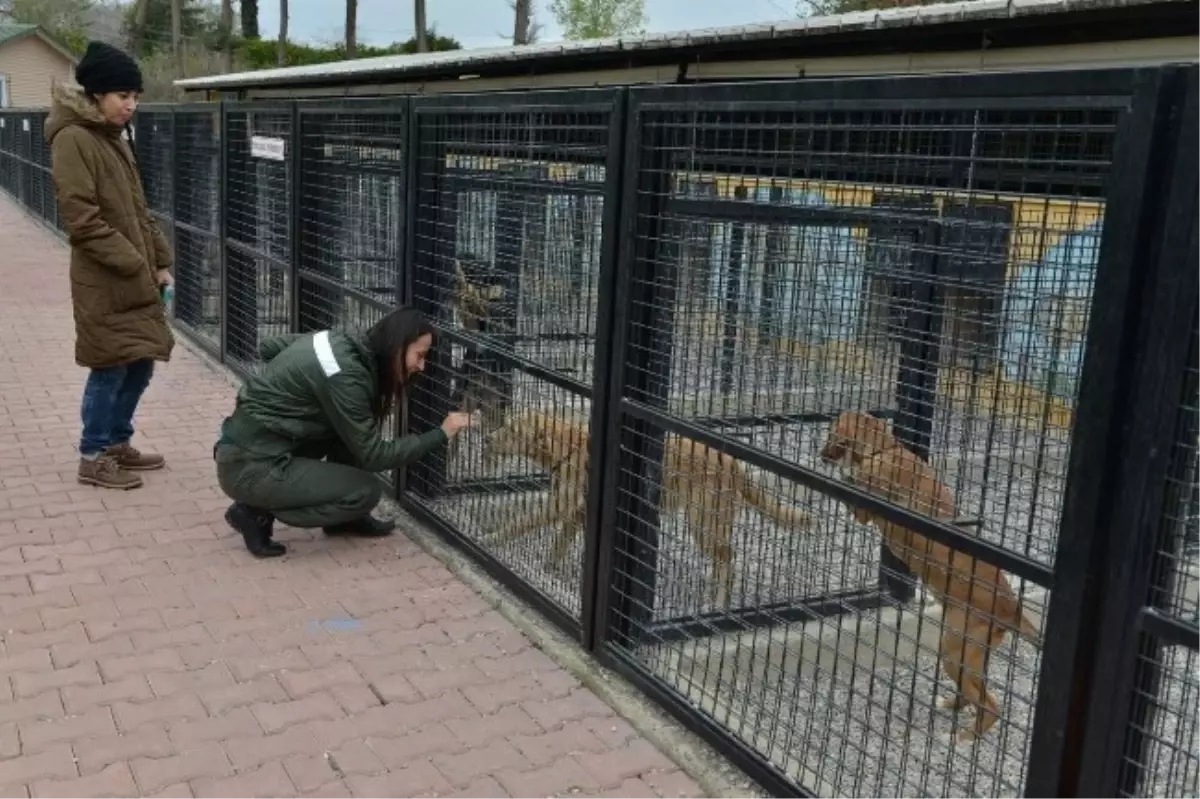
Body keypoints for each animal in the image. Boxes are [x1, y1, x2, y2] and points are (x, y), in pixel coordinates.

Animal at [487, 407, 816, 599]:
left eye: (512, 430)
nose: (490, 436)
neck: (565, 446)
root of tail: (733, 461)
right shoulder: (575, 512)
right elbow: (559, 543)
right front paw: (550, 568)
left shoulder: (560, 506)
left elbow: (520, 522)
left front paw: (493, 537)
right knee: (725, 556)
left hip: (703, 522)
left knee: (728, 556)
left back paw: (719, 598)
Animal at [816, 410, 1041, 739]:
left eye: (834, 434)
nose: (821, 456)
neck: (885, 450)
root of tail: (1012, 607)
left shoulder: (865, 508)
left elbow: (851, 481)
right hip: (967, 657)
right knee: (972, 694)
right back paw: (949, 705)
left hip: (955, 654)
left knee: (990, 705)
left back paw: (965, 738)